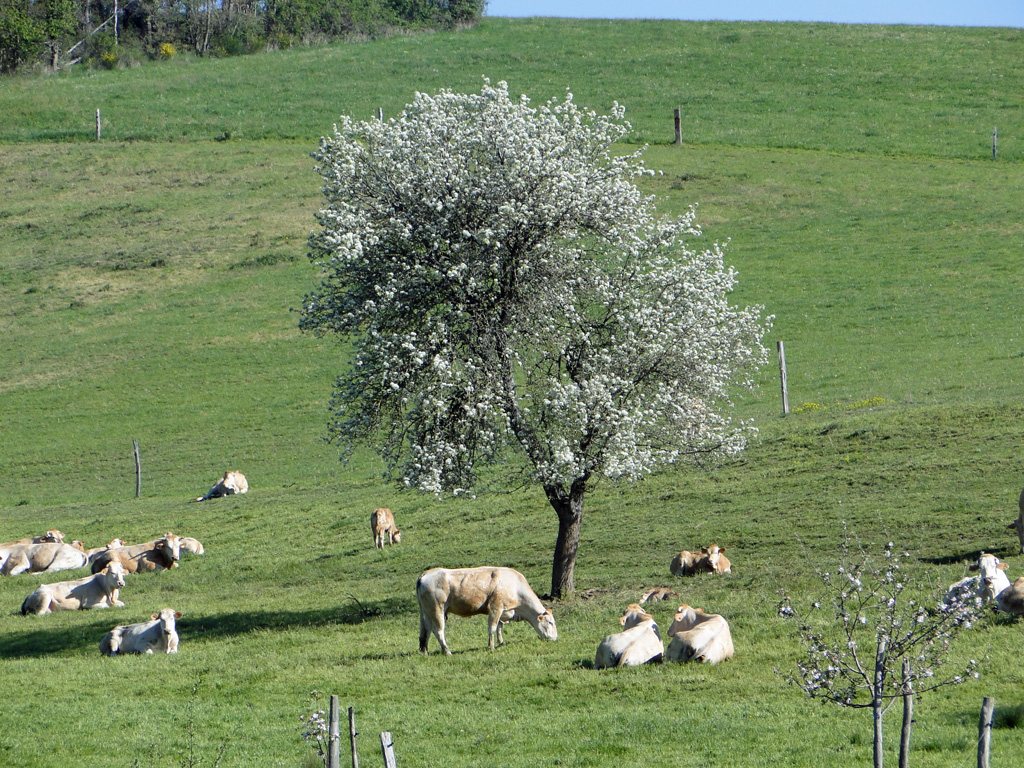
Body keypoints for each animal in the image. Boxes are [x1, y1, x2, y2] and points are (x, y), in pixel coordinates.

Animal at [417, 565, 561, 655]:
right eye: (550, 622)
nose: (555, 638)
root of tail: (427, 573)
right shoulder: (495, 607)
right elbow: (492, 627)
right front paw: (491, 647)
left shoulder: (504, 611)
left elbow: (499, 627)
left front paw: (501, 643)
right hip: (437, 609)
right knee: (438, 631)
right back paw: (447, 651)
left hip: (427, 612)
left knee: (426, 631)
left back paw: (425, 651)